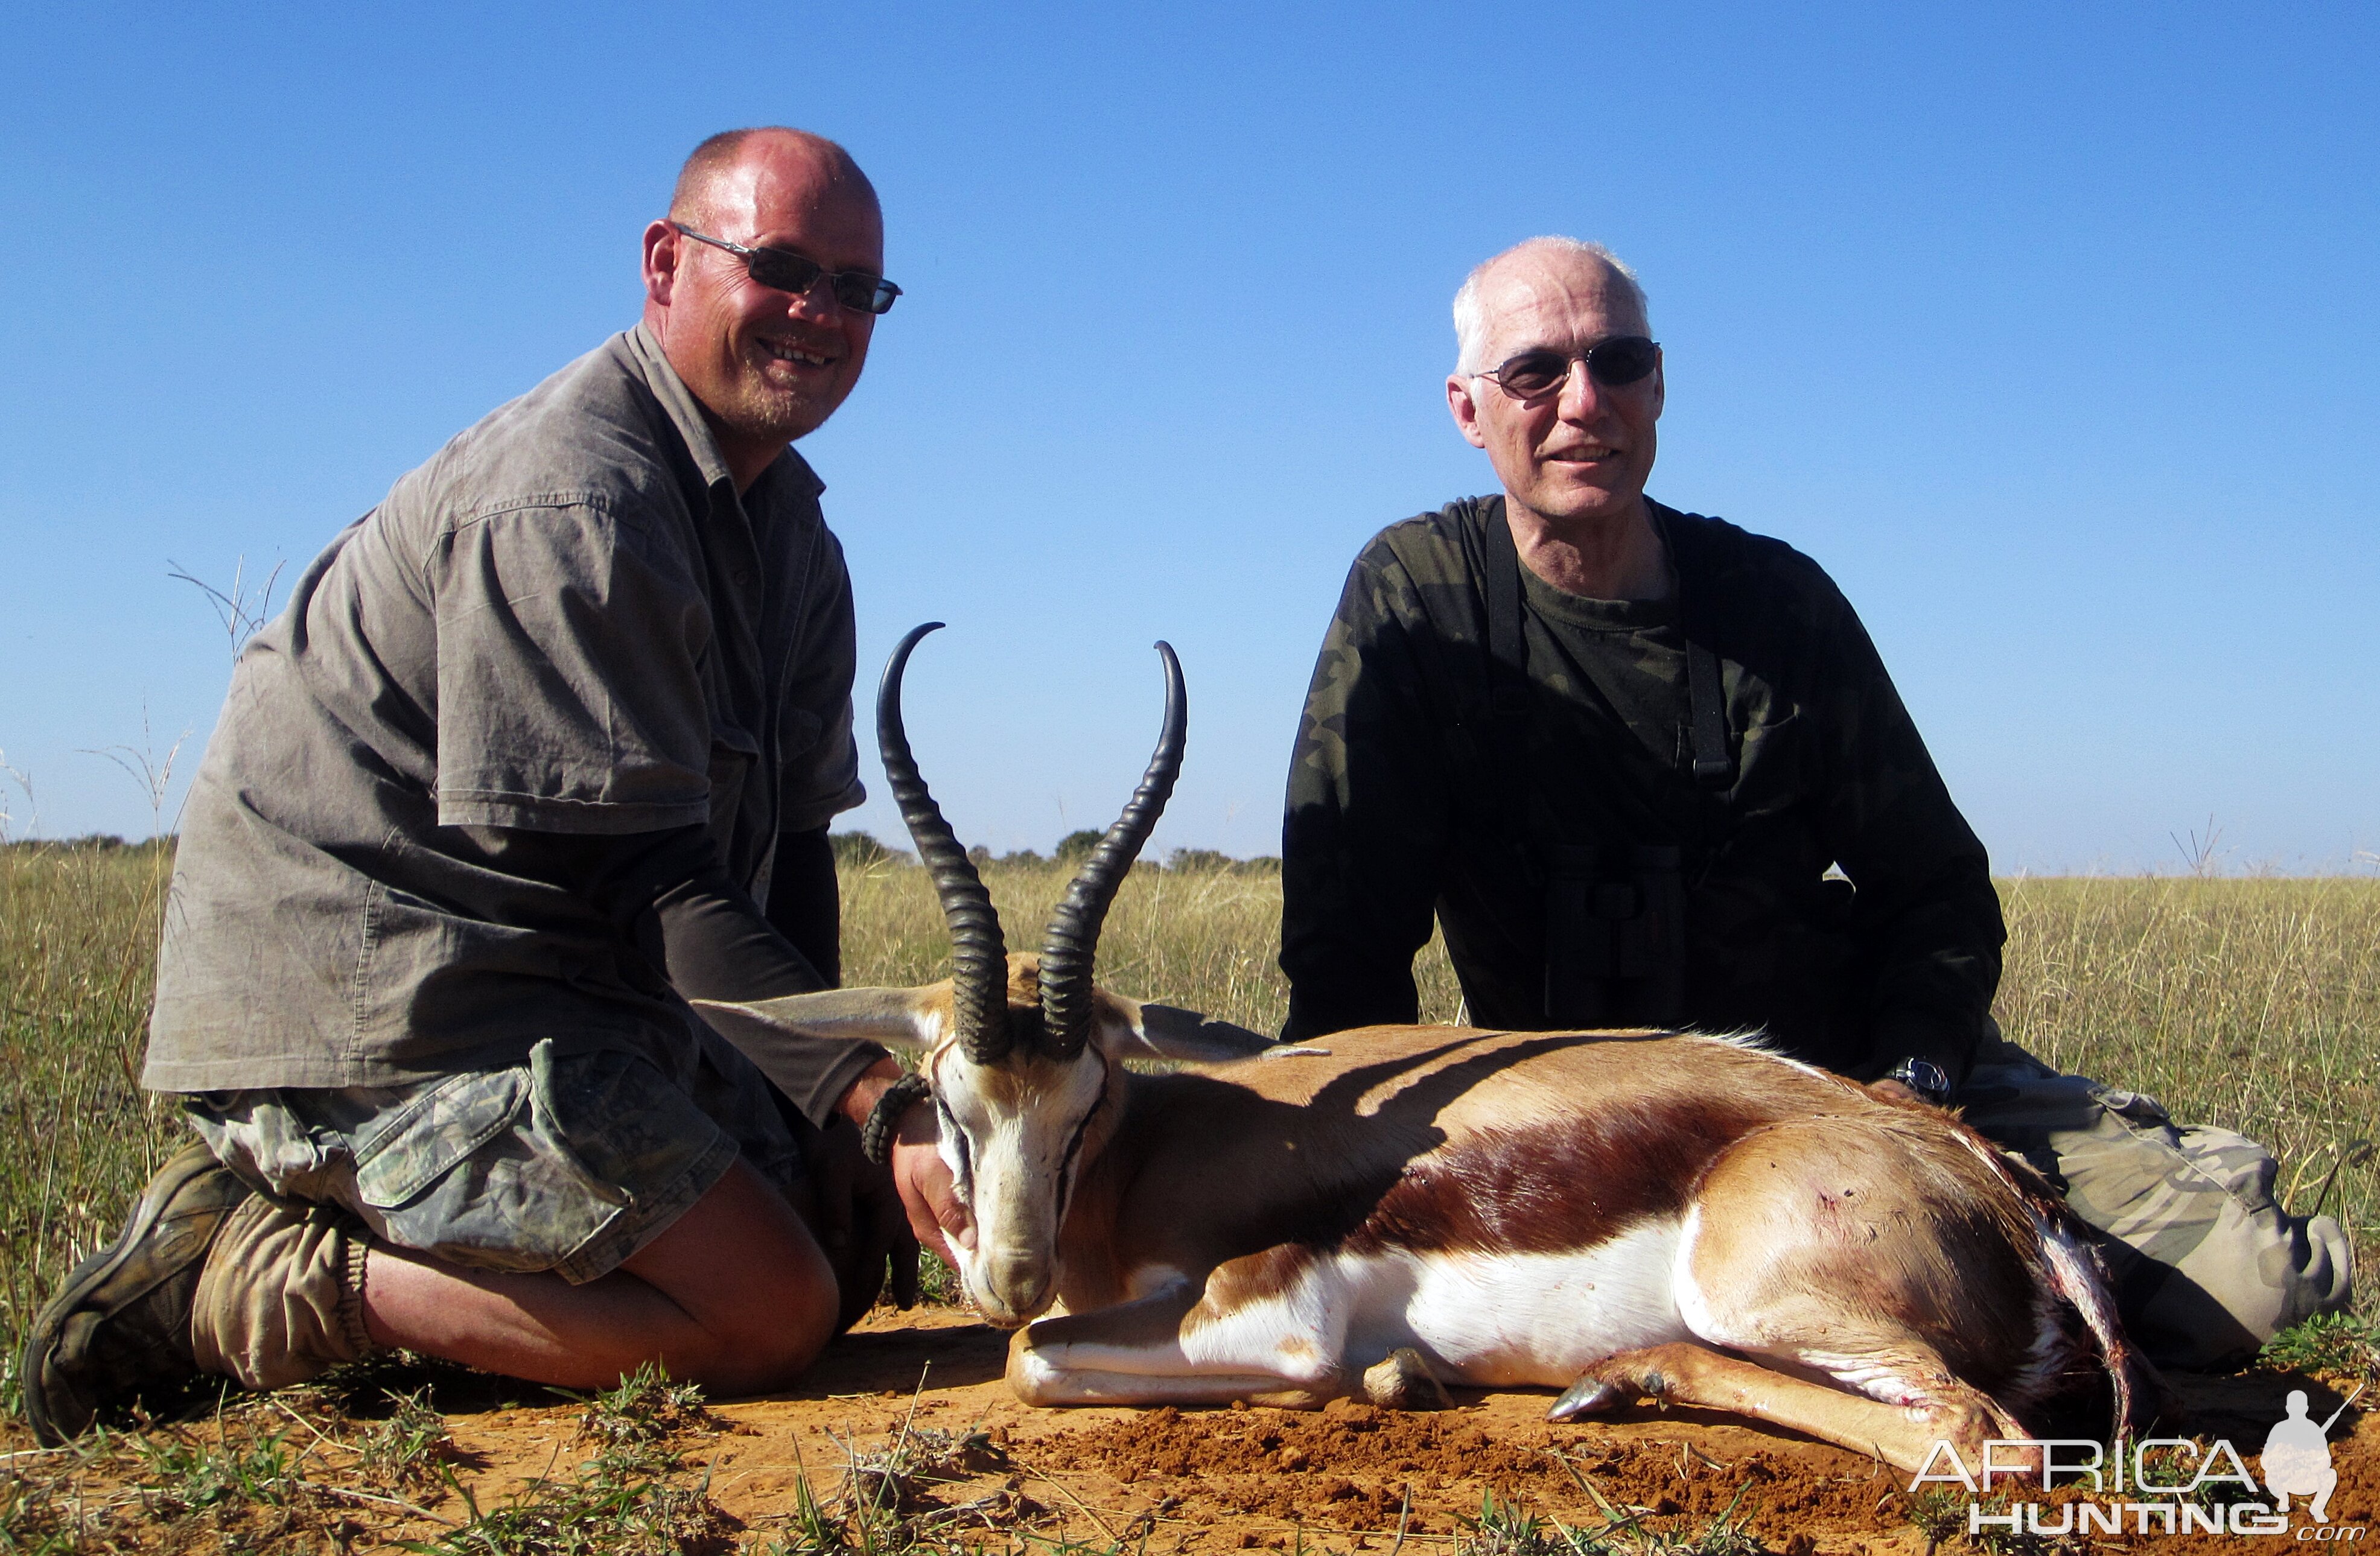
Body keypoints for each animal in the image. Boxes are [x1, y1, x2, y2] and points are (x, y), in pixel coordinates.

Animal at [699, 623, 2161, 1475]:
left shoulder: (1267, 1306)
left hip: (1766, 1293)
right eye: (947, 1099)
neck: (1136, 1171)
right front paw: (1406, 1369)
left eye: (1086, 1097)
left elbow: (1042, 1359)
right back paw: (1599, 1384)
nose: (1006, 1274)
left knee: (1983, 1439)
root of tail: (2005, 1194)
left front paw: (1378, 1371)